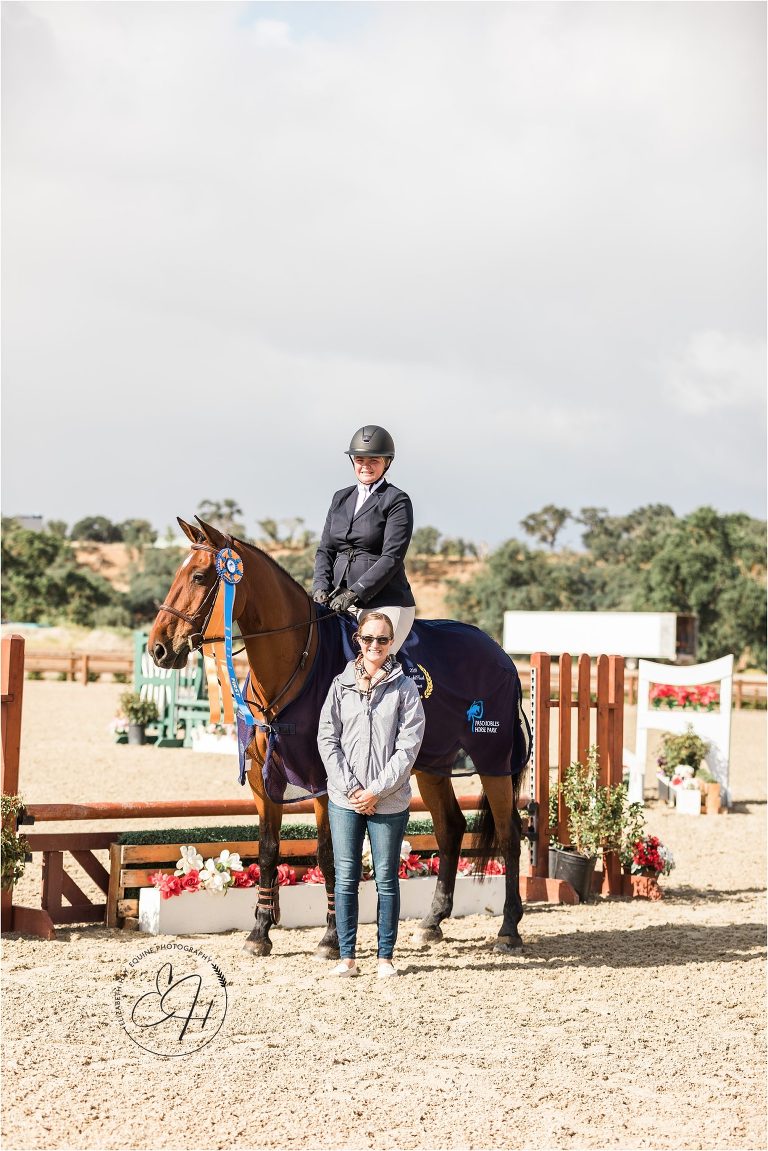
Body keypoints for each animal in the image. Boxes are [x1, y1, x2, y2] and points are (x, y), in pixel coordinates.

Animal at [148, 517, 532, 959]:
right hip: (431, 764)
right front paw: (260, 932)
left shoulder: (325, 781)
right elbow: (267, 850)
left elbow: (330, 854)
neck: (296, 662)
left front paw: (331, 938)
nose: (158, 650)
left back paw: (509, 929)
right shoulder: (265, 779)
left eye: (198, 576)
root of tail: (501, 654)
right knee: (450, 828)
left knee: (509, 834)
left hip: (492, 759)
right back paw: (432, 923)